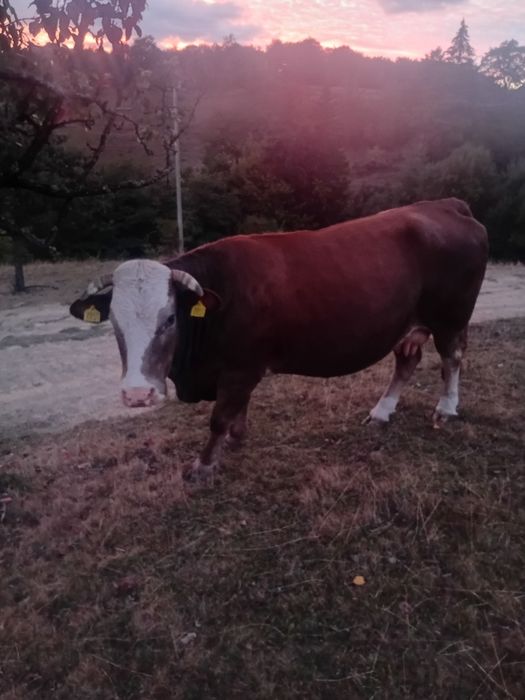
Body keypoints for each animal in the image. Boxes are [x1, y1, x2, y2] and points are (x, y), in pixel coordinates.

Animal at [70, 198, 488, 480]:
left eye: (170, 318)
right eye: (115, 322)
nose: (137, 394)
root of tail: (445, 205)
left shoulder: (240, 367)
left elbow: (219, 418)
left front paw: (204, 464)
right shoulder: (237, 370)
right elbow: (236, 410)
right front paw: (237, 437)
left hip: (451, 317)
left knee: (452, 358)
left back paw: (446, 408)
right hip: (407, 323)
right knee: (407, 361)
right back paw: (382, 411)